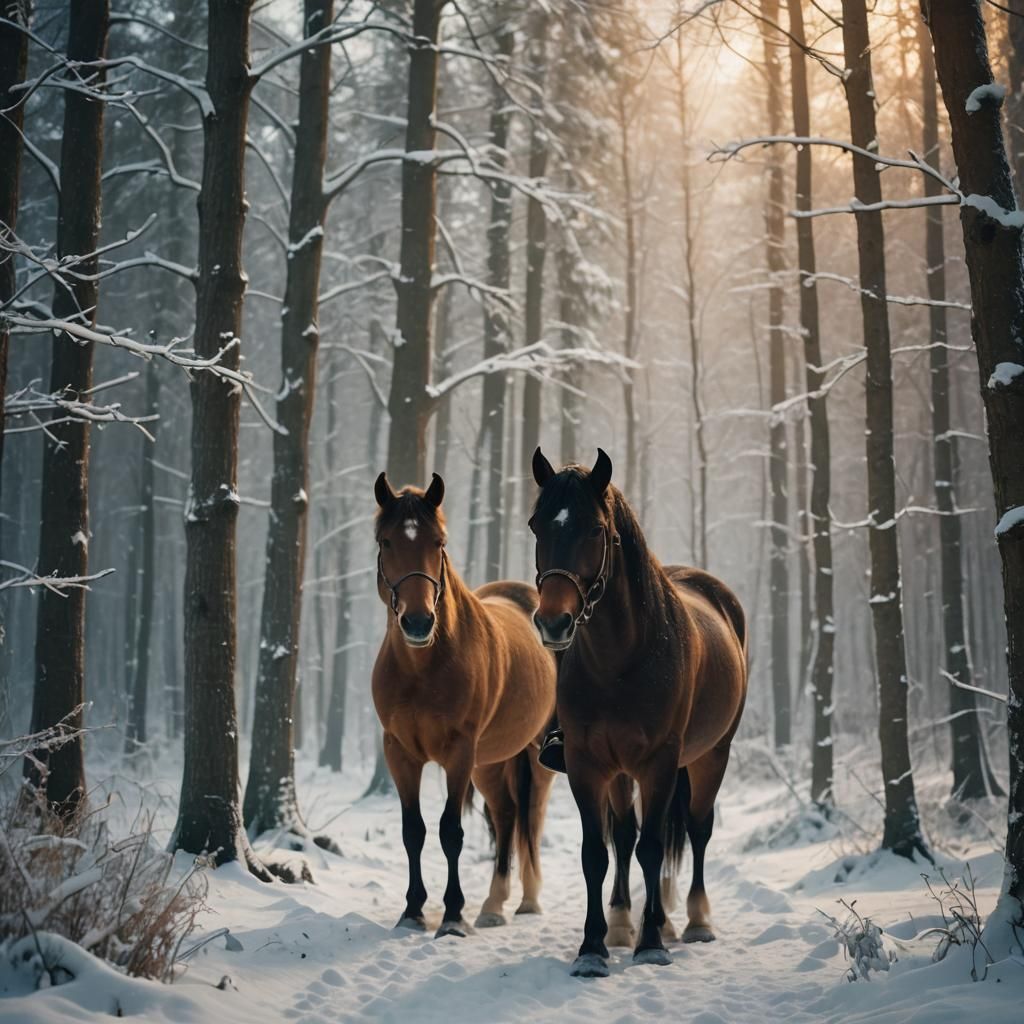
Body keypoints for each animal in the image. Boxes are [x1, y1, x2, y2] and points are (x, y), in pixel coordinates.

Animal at [371, 471, 557, 938]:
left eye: (439, 542)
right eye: (386, 541)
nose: (418, 622)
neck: (424, 668)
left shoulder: (458, 752)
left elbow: (450, 831)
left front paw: (453, 916)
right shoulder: (399, 753)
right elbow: (413, 831)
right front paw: (412, 911)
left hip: (534, 756)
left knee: (532, 815)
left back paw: (528, 899)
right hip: (489, 762)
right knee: (507, 814)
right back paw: (493, 904)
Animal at [529, 448, 748, 977]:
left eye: (595, 529)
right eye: (536, 525)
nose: (553, 622)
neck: (620, 660)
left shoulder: (659, 763)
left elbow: (653, 848)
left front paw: (651, 943)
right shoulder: (587, 764)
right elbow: (597, 852)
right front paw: (594, 946)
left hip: (709, 757)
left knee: (697, 829)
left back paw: (693, 920)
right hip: (621, 769)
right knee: (626, 836)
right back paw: (625, 921)